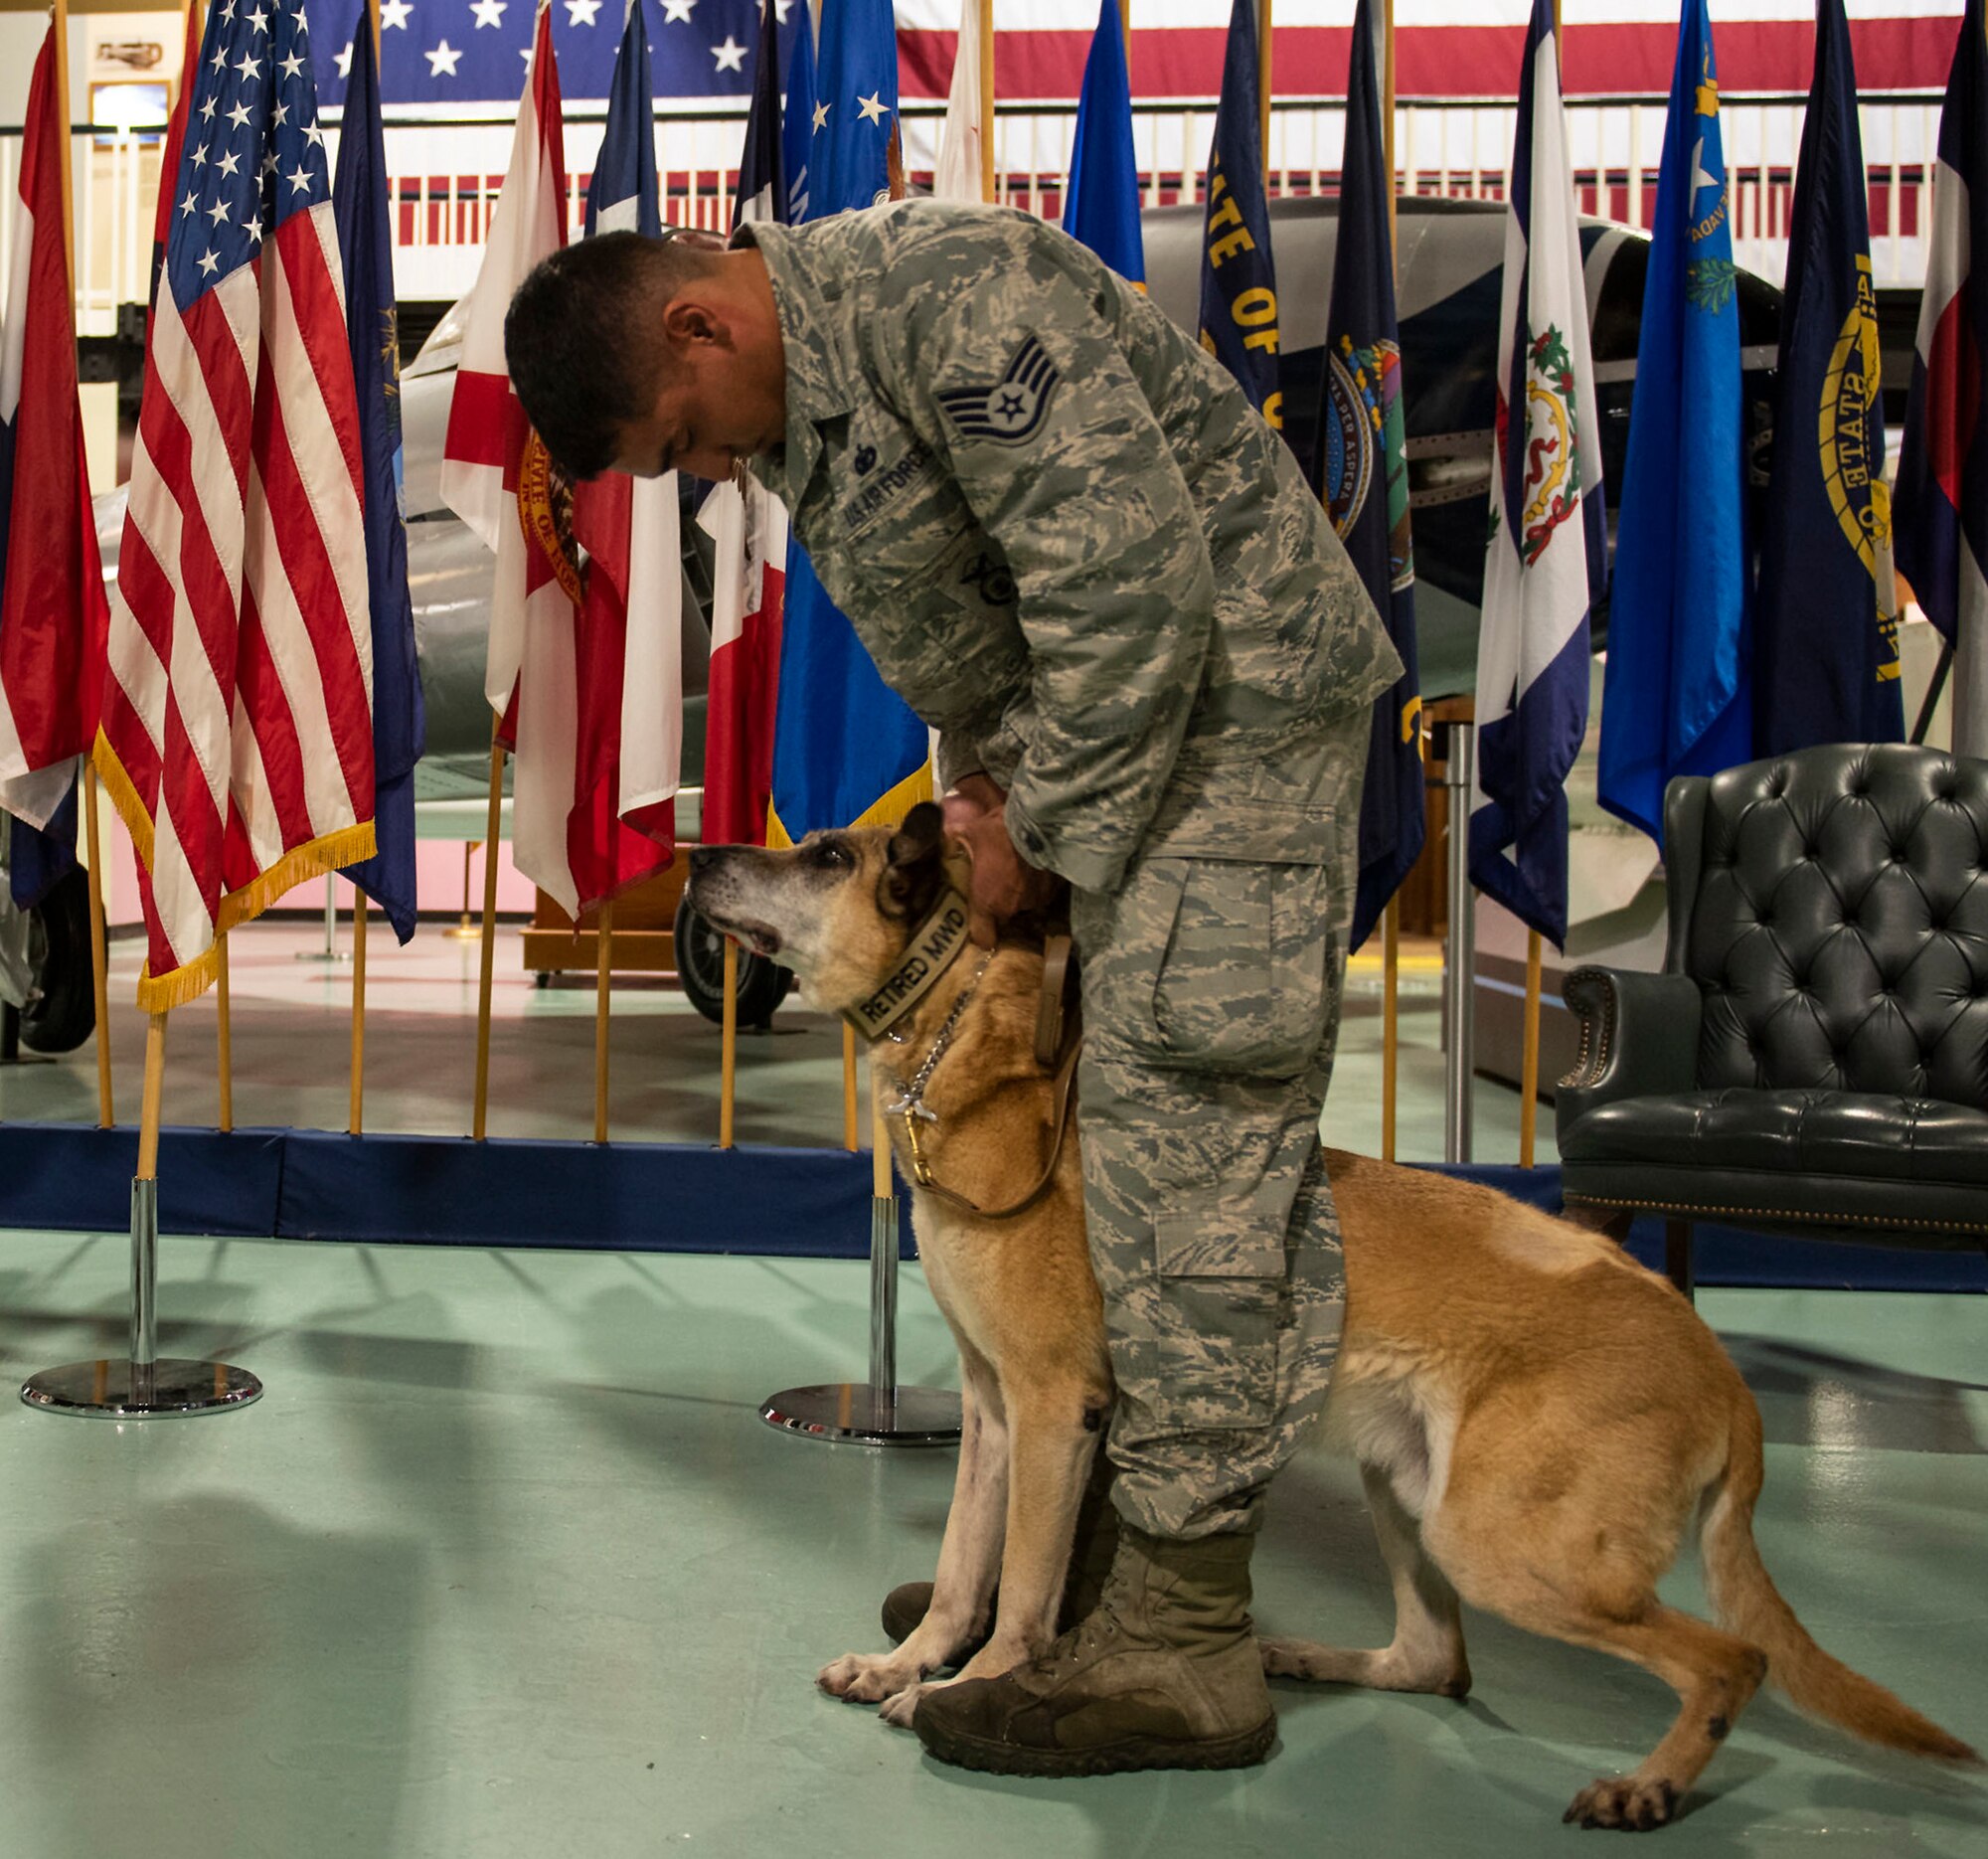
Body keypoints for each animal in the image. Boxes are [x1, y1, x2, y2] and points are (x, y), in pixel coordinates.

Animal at [684, 807, 1972, 1821]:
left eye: (827, 855)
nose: (694, 855)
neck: (966, 1052)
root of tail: (1714, 1366)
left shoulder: (1054, 1411)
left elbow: (1024, 1589)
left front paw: (961, 1689)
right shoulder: (995, 1413)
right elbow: (963, 1568)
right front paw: (905, 1659)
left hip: (1502, 1542)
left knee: (1727, 1657)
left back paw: (1646, 1785)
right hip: (1406, 1491)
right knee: (1434, 1659)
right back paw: (1298, 1655)